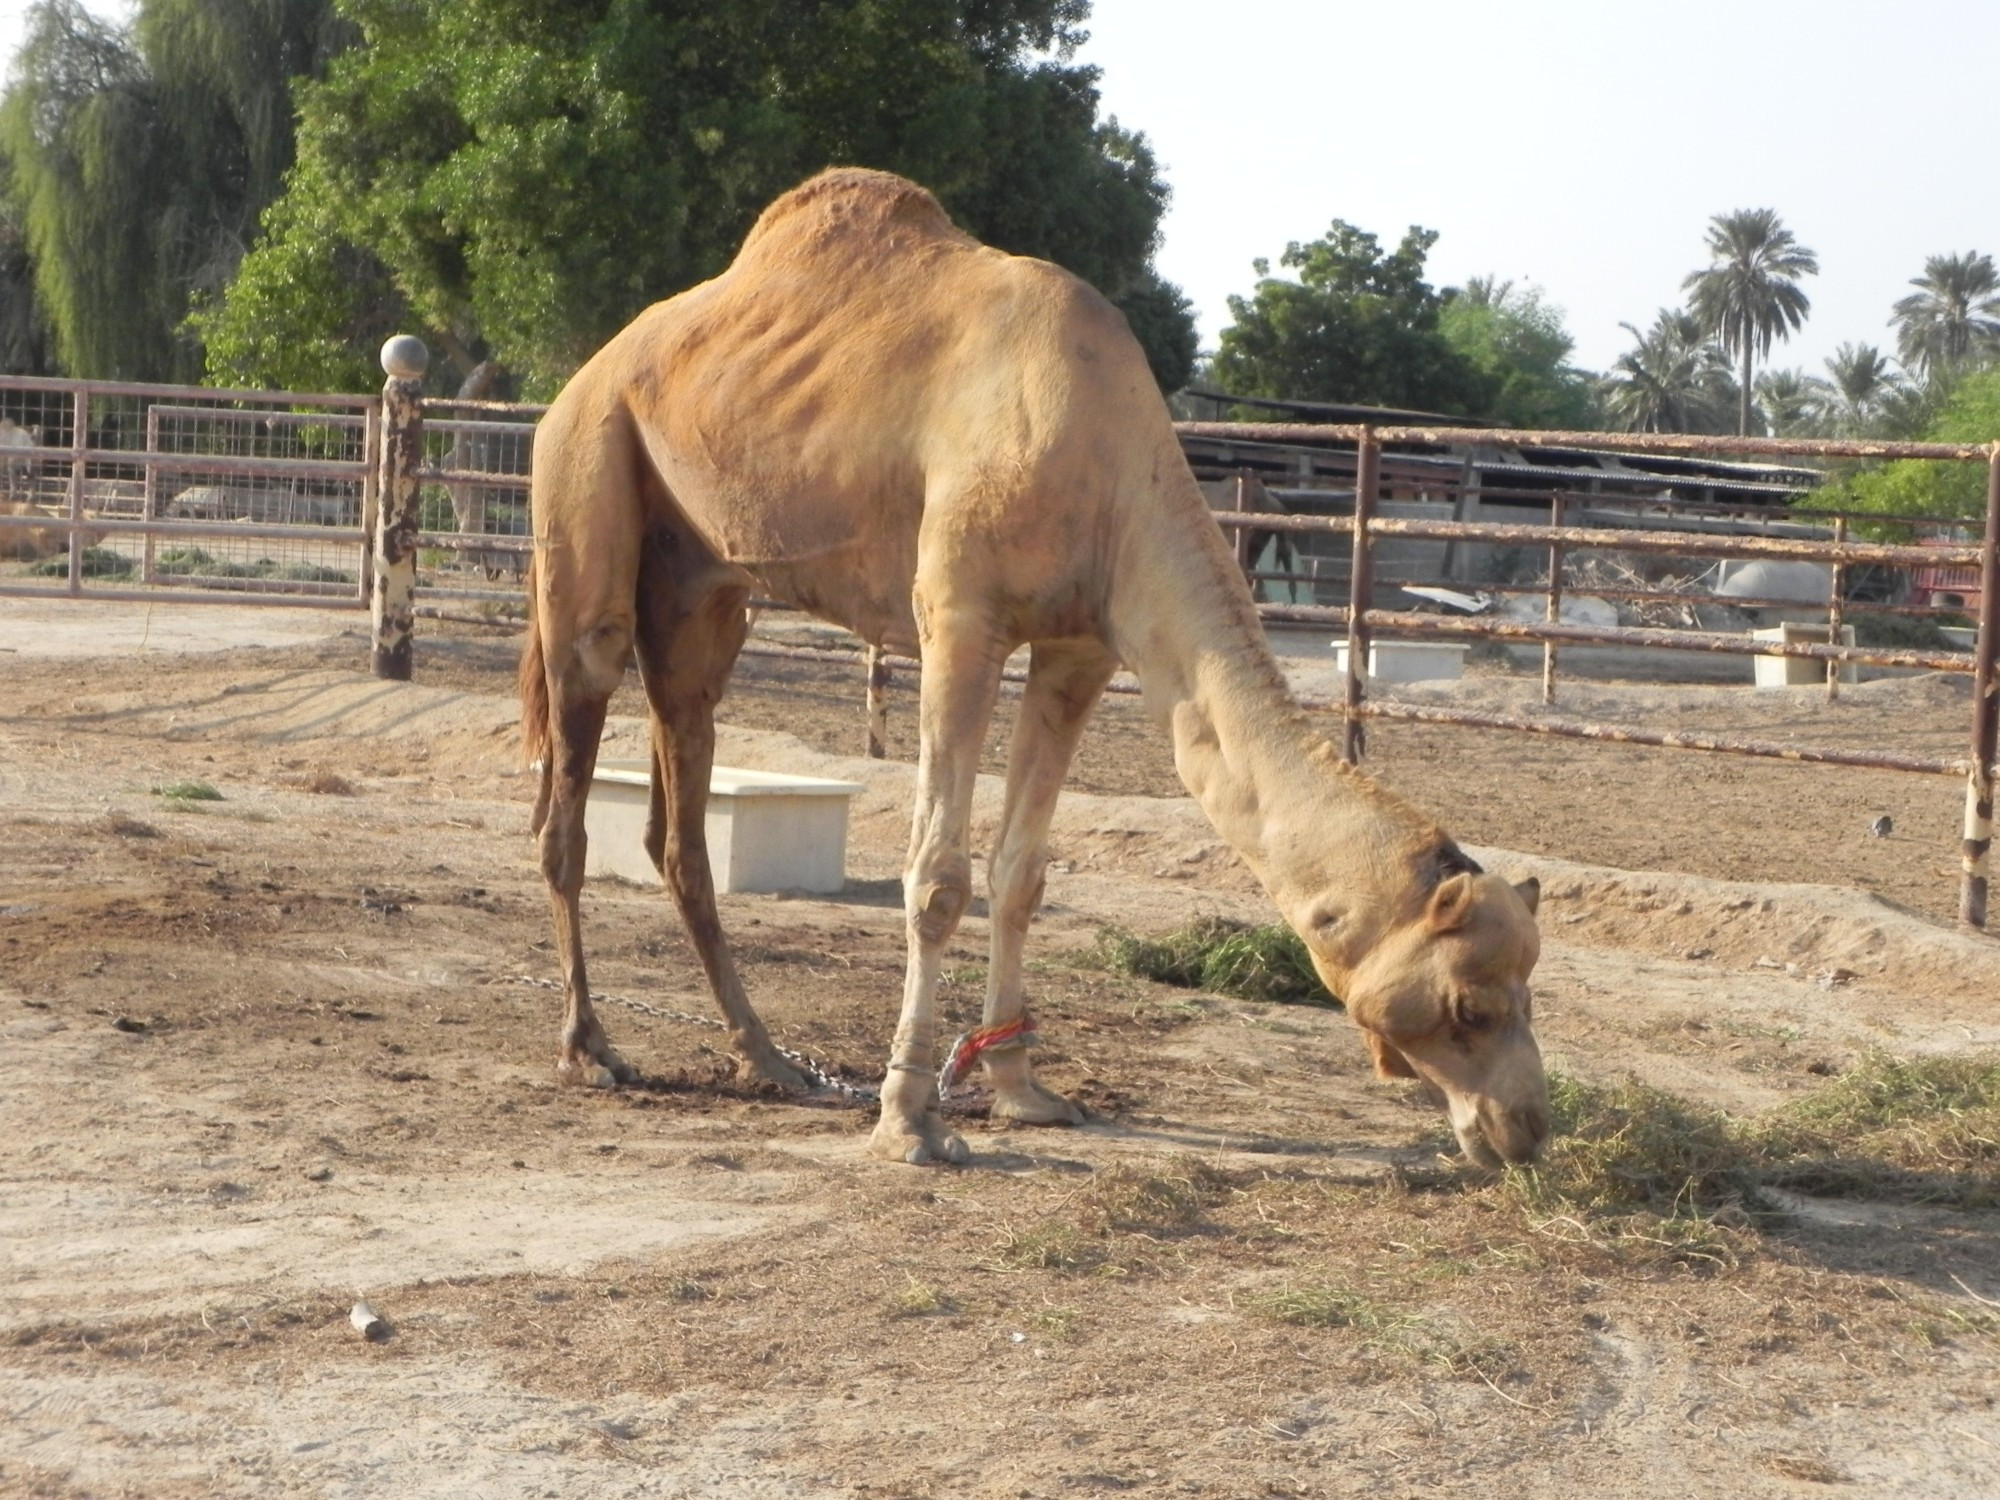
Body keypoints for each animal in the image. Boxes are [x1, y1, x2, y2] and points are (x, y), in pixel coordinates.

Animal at [516, 170, 1544, 1168]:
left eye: (1533, 989)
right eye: (1472, 1004)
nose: (1526, 1129)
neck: (1106, 456)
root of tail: (582, 375)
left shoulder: (1078, 646)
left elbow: (1021, 872)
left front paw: (1022, 1091)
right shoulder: (959, 621)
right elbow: (938, 879)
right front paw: (910, 1120)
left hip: (704, 591)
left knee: (680, 813)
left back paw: (770, 1061)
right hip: (586, 474)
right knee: (571, 782)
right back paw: (588, 1049)